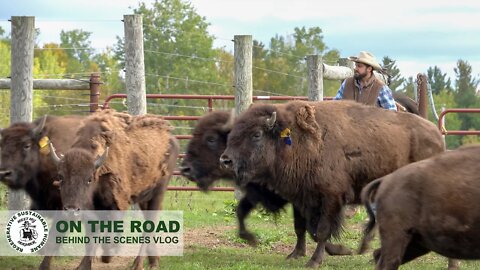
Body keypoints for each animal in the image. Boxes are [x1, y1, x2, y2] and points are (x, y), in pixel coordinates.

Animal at [50, 109, 180, 270]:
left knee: (150, 224)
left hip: (158, 193)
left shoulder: (117, 204)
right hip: (144, 197)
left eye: (89, 179)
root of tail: (171, 138)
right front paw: (84, 265)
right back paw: (154, 261)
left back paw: (138, 264)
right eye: (61, 177)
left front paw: (108, 255)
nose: (71, 210)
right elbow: (91, 238)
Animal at [219, 99, 444, 268]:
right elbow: (303, 228)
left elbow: (322, 230)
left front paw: (316, 260)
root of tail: (437, 135)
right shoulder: (301, 197)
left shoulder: (331, 198)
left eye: (256, 134)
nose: (225, 160)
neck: (297, 140)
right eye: (233, 132)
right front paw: (297, 254)